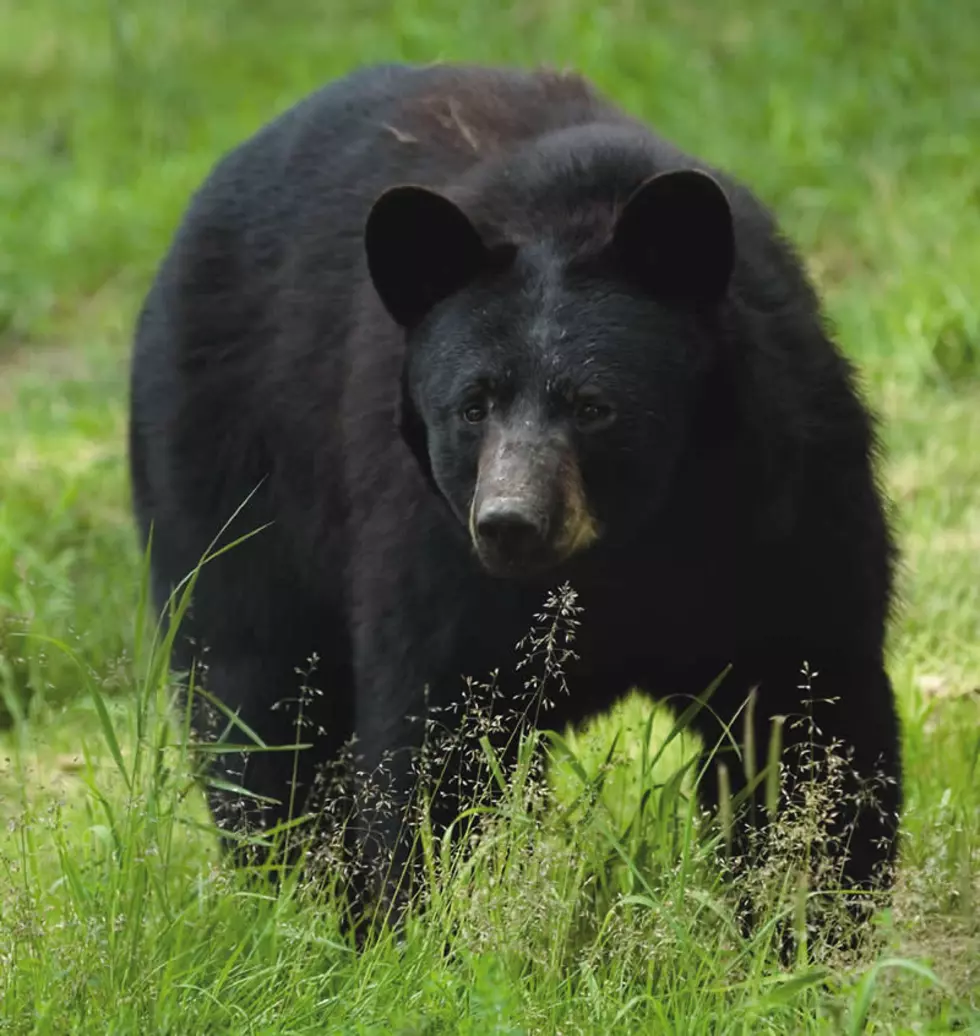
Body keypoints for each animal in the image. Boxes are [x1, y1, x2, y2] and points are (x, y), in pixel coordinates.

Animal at [127, 60, 903, 928]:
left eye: (595, 406)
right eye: (473, 405)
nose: (511, 523)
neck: (633, 543)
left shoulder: (785, 507)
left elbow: (806, 715)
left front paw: (802, 923)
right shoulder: (433, 549)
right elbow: (435, 742)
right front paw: (409, 924)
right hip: (230, 473)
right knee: (254, 700)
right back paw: (293, 893)